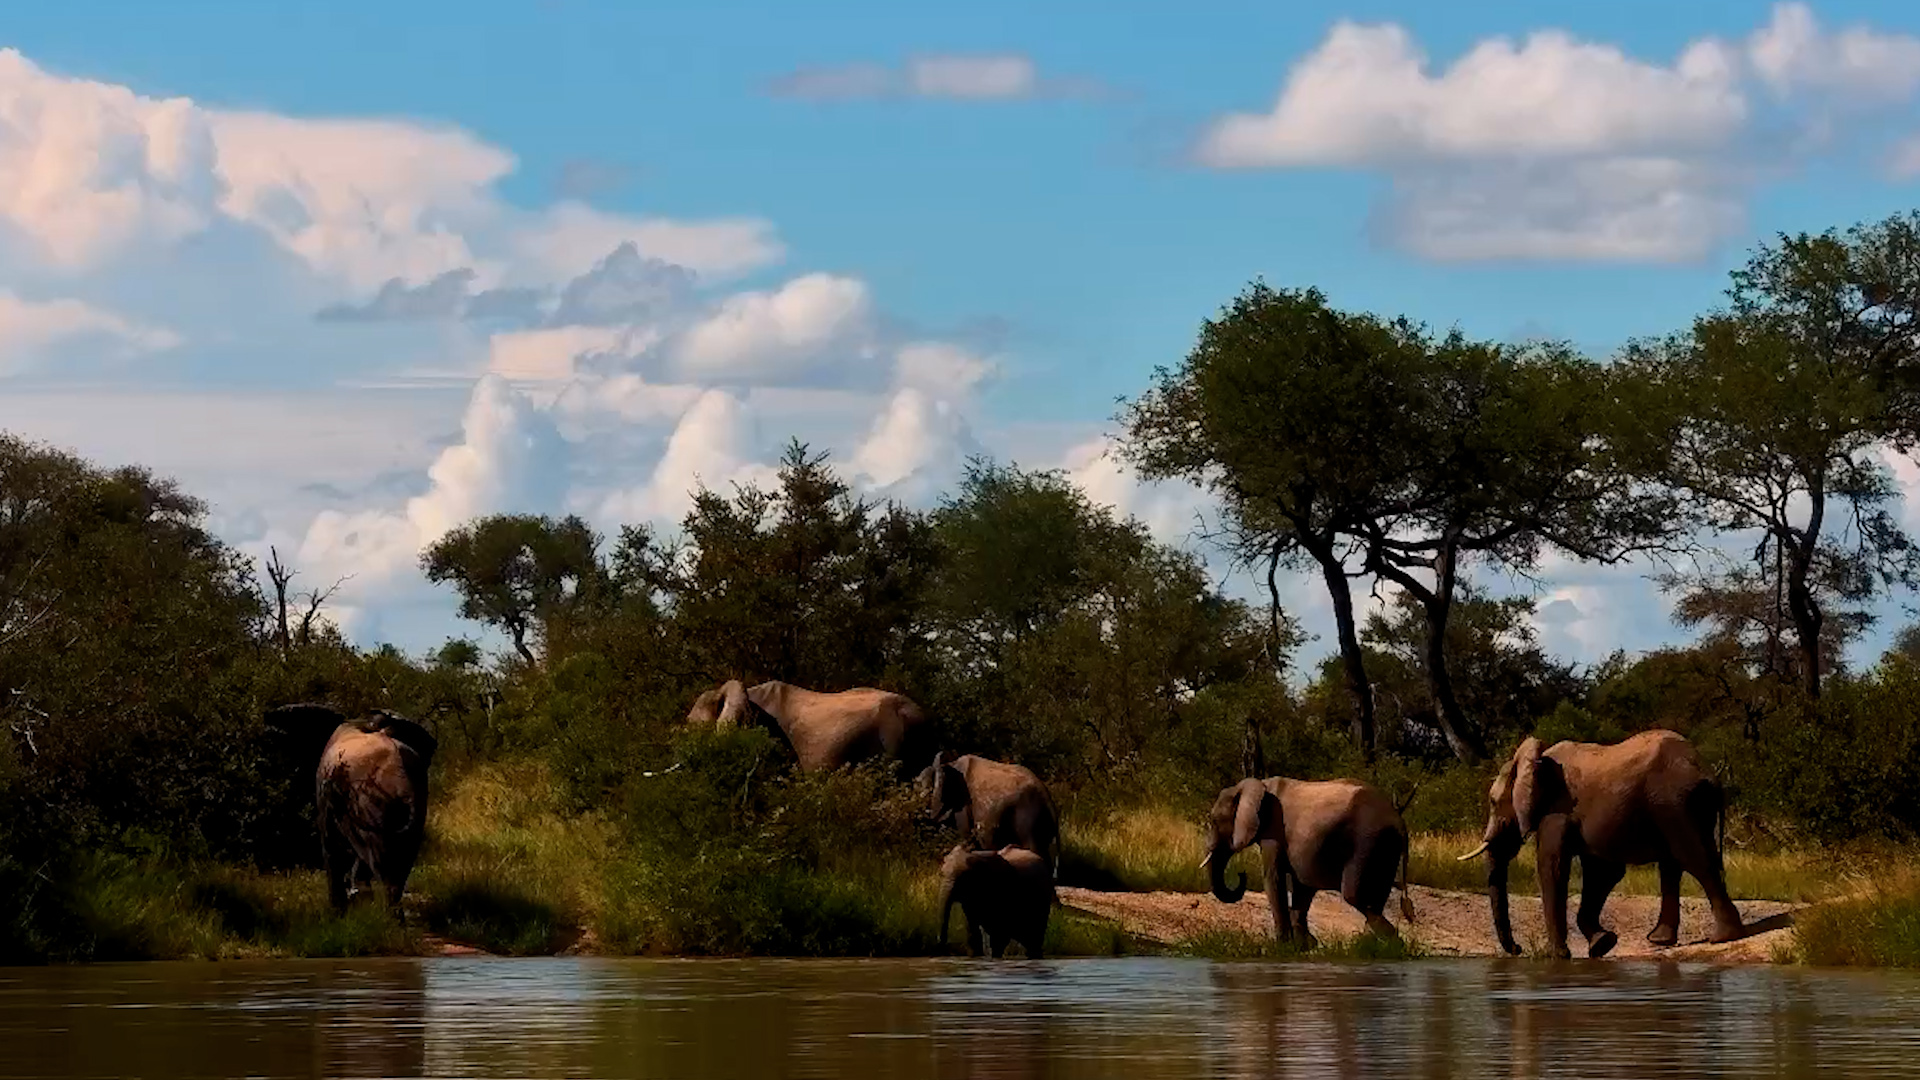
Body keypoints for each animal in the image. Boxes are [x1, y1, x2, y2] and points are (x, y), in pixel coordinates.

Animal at [263, 703, 438, 914]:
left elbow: (331, 849)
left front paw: (338, 911)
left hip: (370, 803)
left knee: (381, 865)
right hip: (413, 807)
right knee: (401, 862)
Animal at [916, 751, 1061, 874]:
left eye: (927, 787)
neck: (950, 765)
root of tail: (1048, 799)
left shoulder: (963, 805)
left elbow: (966, 836)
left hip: (1028, 818)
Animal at [1204, 776, 1415, 948]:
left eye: (1214, 821)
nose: (1241, 874)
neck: (1256, 785)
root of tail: (1399, 821)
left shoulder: (1274, 830)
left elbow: (1274, 879)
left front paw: (1282, 947)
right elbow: (1303, 886)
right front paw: (1305, 946)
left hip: (1368, 840)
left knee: (1353, 895)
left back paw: (1392, 943)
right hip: (1386, 846)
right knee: (1378, 893)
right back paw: (1376, 944)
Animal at [1457, 728, 1749, 959]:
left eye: (1493, 802)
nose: (1517, 949)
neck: (1538, 759)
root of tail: (1709, 773)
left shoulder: (1557, 810)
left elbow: (1553, 867)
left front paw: (1556, 956)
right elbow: (1603, 874)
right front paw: (1602, 944)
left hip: (1675, 803)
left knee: (1693, 857)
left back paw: (1723, 937)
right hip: (1682, 806)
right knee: (1672, 866)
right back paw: (1660, 940)